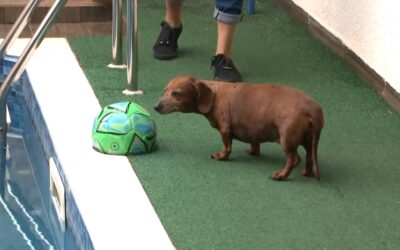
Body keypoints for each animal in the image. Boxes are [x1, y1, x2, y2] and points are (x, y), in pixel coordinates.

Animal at [154, 75, 324, 181]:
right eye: (165, 91)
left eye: (176, 93)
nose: (155, 106)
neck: (214, 94)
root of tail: (313, 109)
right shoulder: (254, 129)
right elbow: (254, 143)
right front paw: (252, 151)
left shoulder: (225, 129)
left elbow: (227, 146)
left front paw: (221, 156)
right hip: (309, 140)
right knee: (309, 156)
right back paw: (307, 172)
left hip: (287, 140)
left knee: (294, 159)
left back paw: (281, 175)